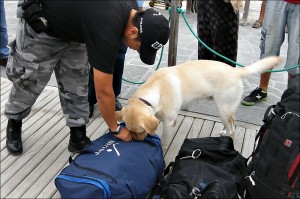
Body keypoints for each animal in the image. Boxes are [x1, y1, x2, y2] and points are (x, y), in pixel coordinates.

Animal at [116, 56, 282, 149]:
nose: (135, 141)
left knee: (233, 130)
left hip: (223, 109)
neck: (156, 88)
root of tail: (236, 71)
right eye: (129, 130)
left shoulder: (169, 123)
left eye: (139, 131)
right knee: (231, 123)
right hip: (225, 110)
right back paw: (224, 132)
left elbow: (163, 141)